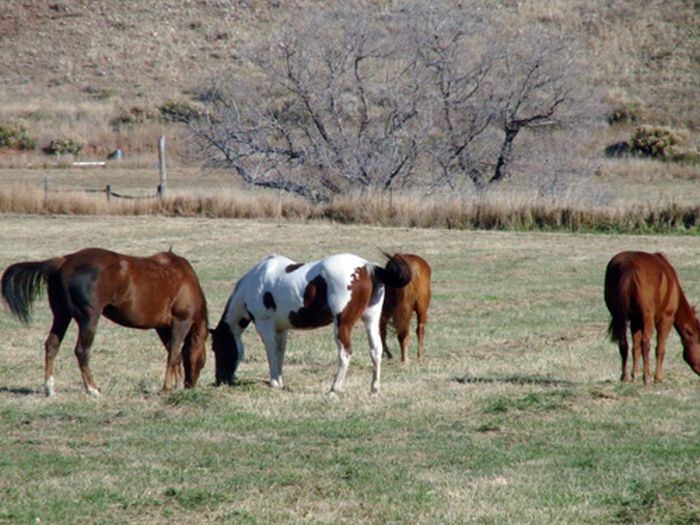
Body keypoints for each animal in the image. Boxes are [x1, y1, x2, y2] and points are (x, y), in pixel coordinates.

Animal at [2, 248, 208, 396]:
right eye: (203, 362)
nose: (190, 386)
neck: (184, 277)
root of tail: (64, 261)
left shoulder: (162, 327)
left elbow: (175, 355)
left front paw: (175, 385)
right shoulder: (181, 322)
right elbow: (173, 355)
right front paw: (168, 388)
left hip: (61, 316)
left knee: (52, 345)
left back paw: (50, 388)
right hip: (88, 319)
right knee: (82, 351)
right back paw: (92, 389)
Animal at [211, 254, 412, 392]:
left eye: (216, 348)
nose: (221, 380)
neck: (254, 283)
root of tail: (365, 267)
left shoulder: (265, 326)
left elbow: (271, 353)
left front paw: (274, 382)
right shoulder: (281, 329)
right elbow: (279, 353)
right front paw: (280, 381)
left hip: (342, 325)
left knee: (345, 353)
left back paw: (334, 388)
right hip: (371, 320)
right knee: (376, 350)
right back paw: (374, 388)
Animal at [600, 250, 700, 380]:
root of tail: (628, 265)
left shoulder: (635, 321)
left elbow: (636, 348)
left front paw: (634, 376)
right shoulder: (666, 319)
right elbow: (660, 349)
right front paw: (658, 377)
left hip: (619, 317)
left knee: (624, 344)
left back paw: (625, 377)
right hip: (648, 318)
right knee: (646, 343)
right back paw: (647, 377)